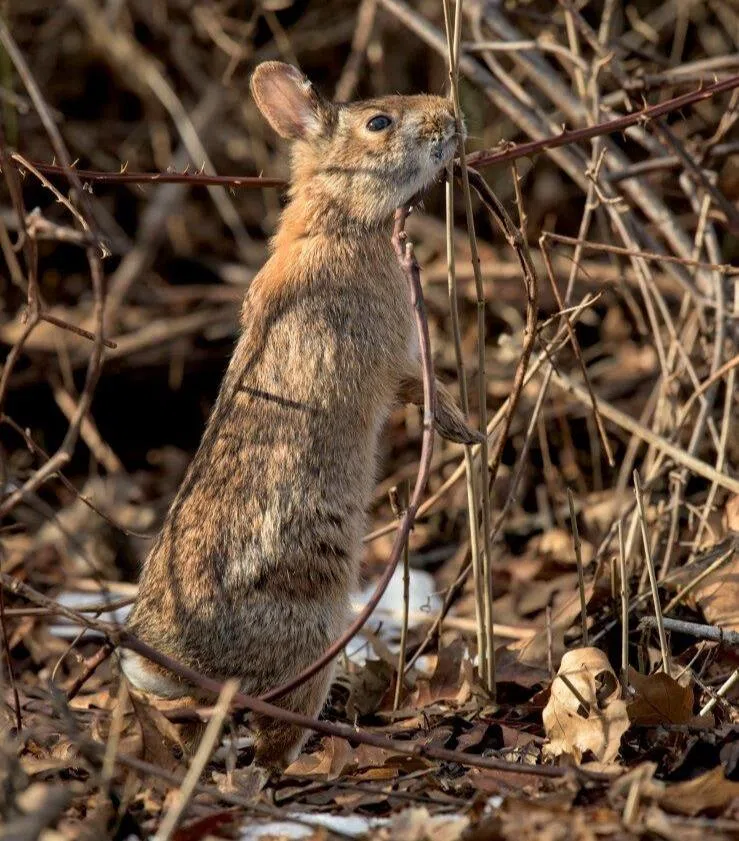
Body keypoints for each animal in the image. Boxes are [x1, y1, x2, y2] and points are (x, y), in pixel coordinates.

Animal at [120, 61, 480, 770]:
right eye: (379, 122)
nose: (449, 118)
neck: (337, 220)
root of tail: (174, 664)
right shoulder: (395, 353)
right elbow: (421, 388)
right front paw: (466, 431)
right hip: (315, 631)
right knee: (276, 735)